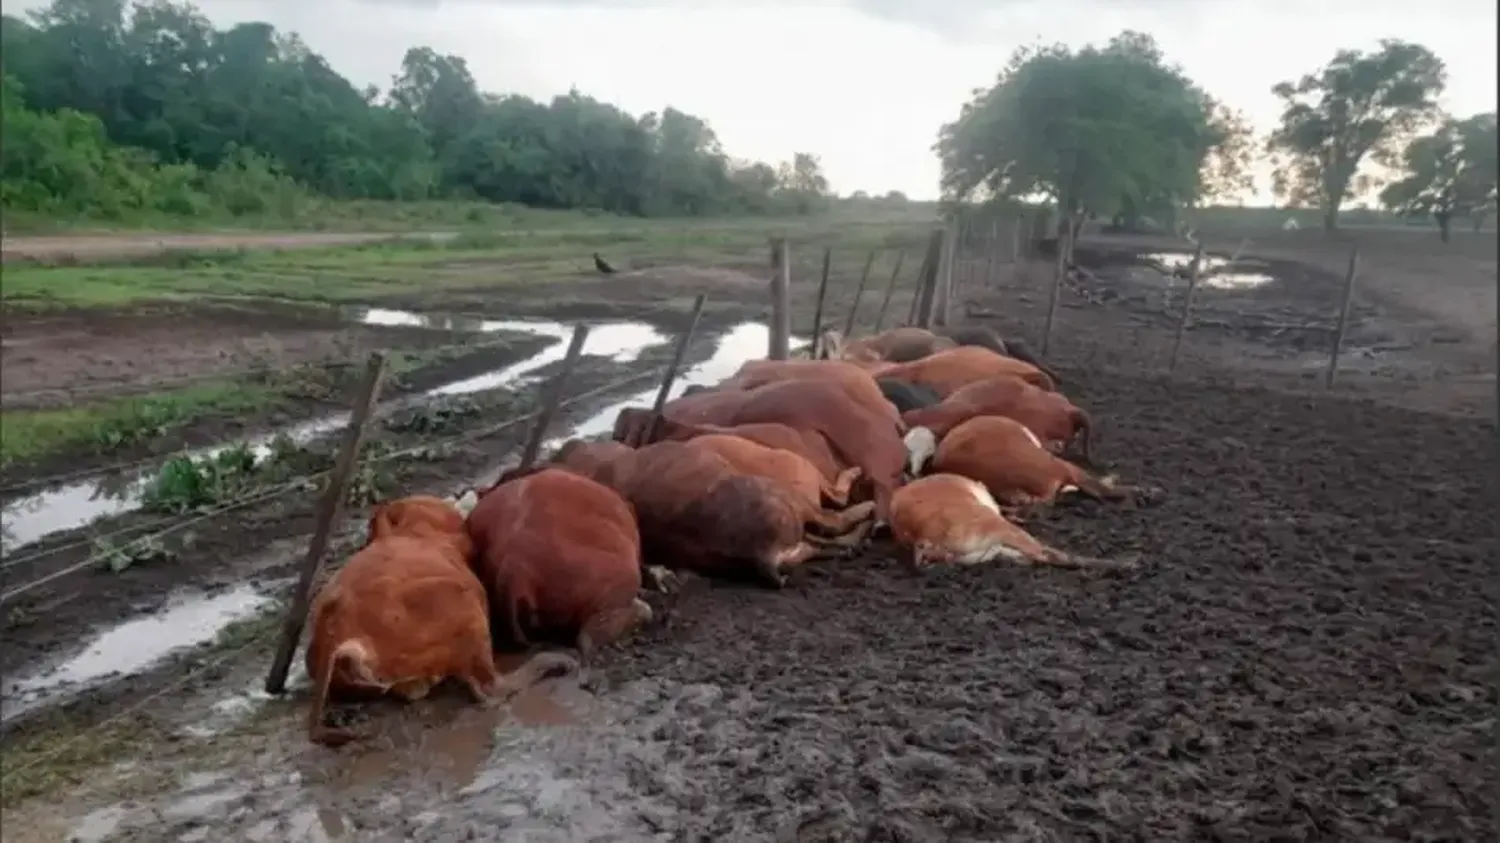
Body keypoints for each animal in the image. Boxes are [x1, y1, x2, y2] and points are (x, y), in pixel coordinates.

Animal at [555, 432, 876, 585]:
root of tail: (762, 554)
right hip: (792, 501)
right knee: (836, 518)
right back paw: (865, 509)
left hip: (794, 544)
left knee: (828, 542)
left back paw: (856, 542)